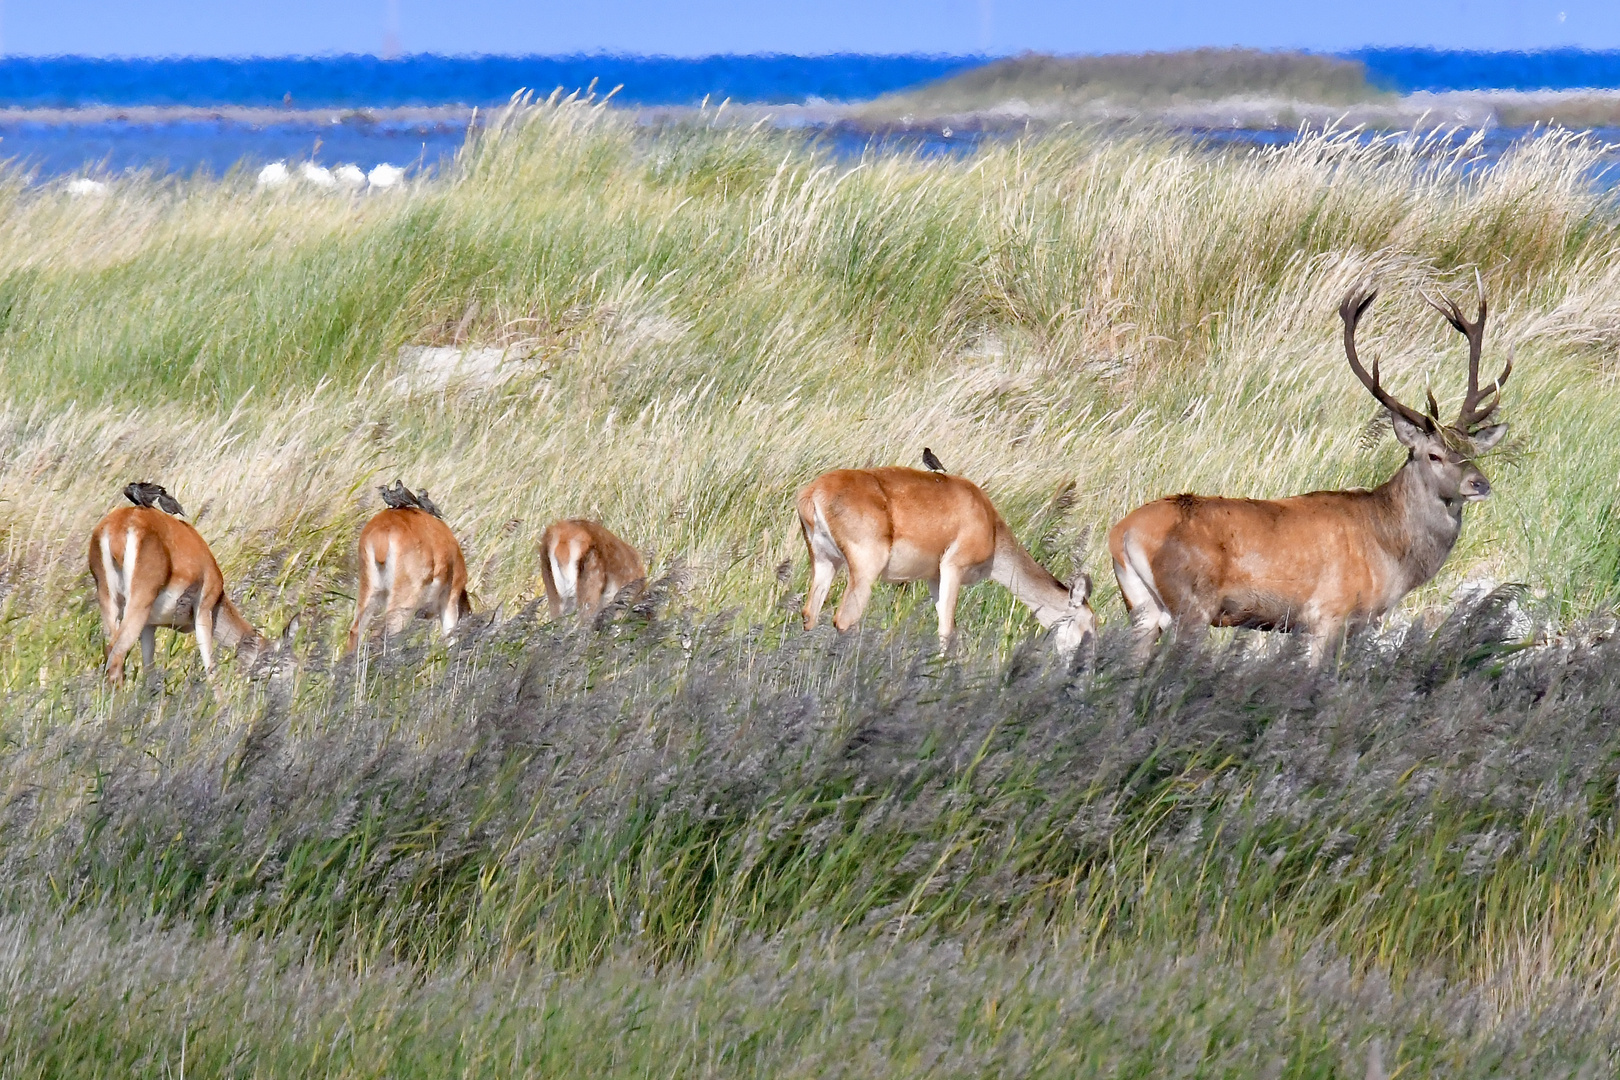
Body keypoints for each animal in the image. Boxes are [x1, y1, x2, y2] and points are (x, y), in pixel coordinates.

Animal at [89, 488, 267, 683]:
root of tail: (118, 529)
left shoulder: (149, 626)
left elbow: (149, 671)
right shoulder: (203, 608)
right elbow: (210, 667)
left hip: (109, 600)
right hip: (138, 602)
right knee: (115, 654)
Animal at [1108, 278, 1509, 663]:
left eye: (1472, 451)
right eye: (1433, 455)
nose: (1480, 483)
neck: (1388, 552)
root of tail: (1122, 534)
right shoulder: (1328, 614)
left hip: (1142, 608)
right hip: (1191, 604)